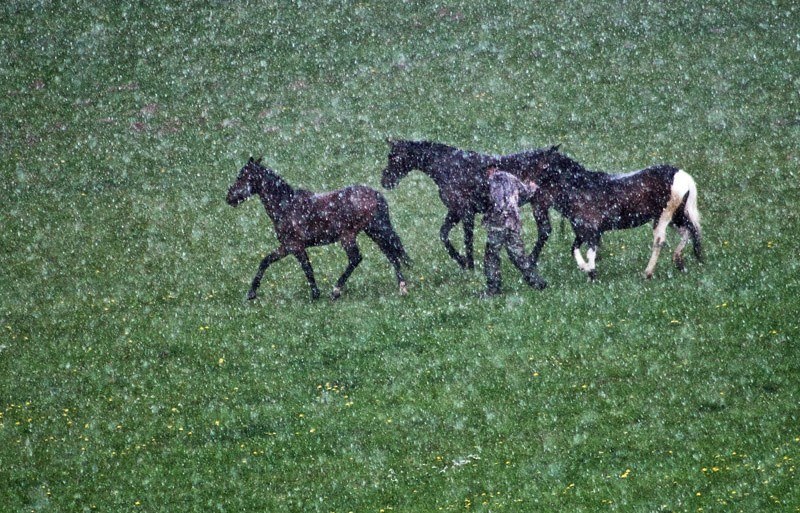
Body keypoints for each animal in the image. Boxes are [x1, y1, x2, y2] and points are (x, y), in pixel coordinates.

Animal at [227, 158, 410, 298]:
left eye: (241, 176)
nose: (228, 198)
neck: (286, 206)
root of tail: (375, 194)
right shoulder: (286, 247)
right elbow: (265, 261)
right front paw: (251, 293)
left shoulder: (295, 246)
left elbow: (307, 268)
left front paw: (315, 294)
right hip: (374, 231)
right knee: (391, 254)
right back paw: (402, 287)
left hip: (349, 236)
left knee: (356, 258)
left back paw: (336, 291)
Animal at [380, 138, 494, 270]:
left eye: (393, 157)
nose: (384, 181)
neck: (446, 167)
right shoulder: (455, 211)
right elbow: (443, 234)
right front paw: (462, 261)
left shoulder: (466, 212)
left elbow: (468, 241)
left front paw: (470, 267)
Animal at [504, 144, 704, 280]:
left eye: (536, 163)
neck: (580, 188)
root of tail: (683, 177)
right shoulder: (583, 231)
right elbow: (575, 249)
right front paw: (586, 268)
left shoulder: (592, 231)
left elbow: (590, 252)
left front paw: (591, 272)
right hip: (676, 217)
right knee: (689, 231)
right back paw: (679, 262)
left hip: (664, 217)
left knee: (660, 240)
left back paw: (647, 273)